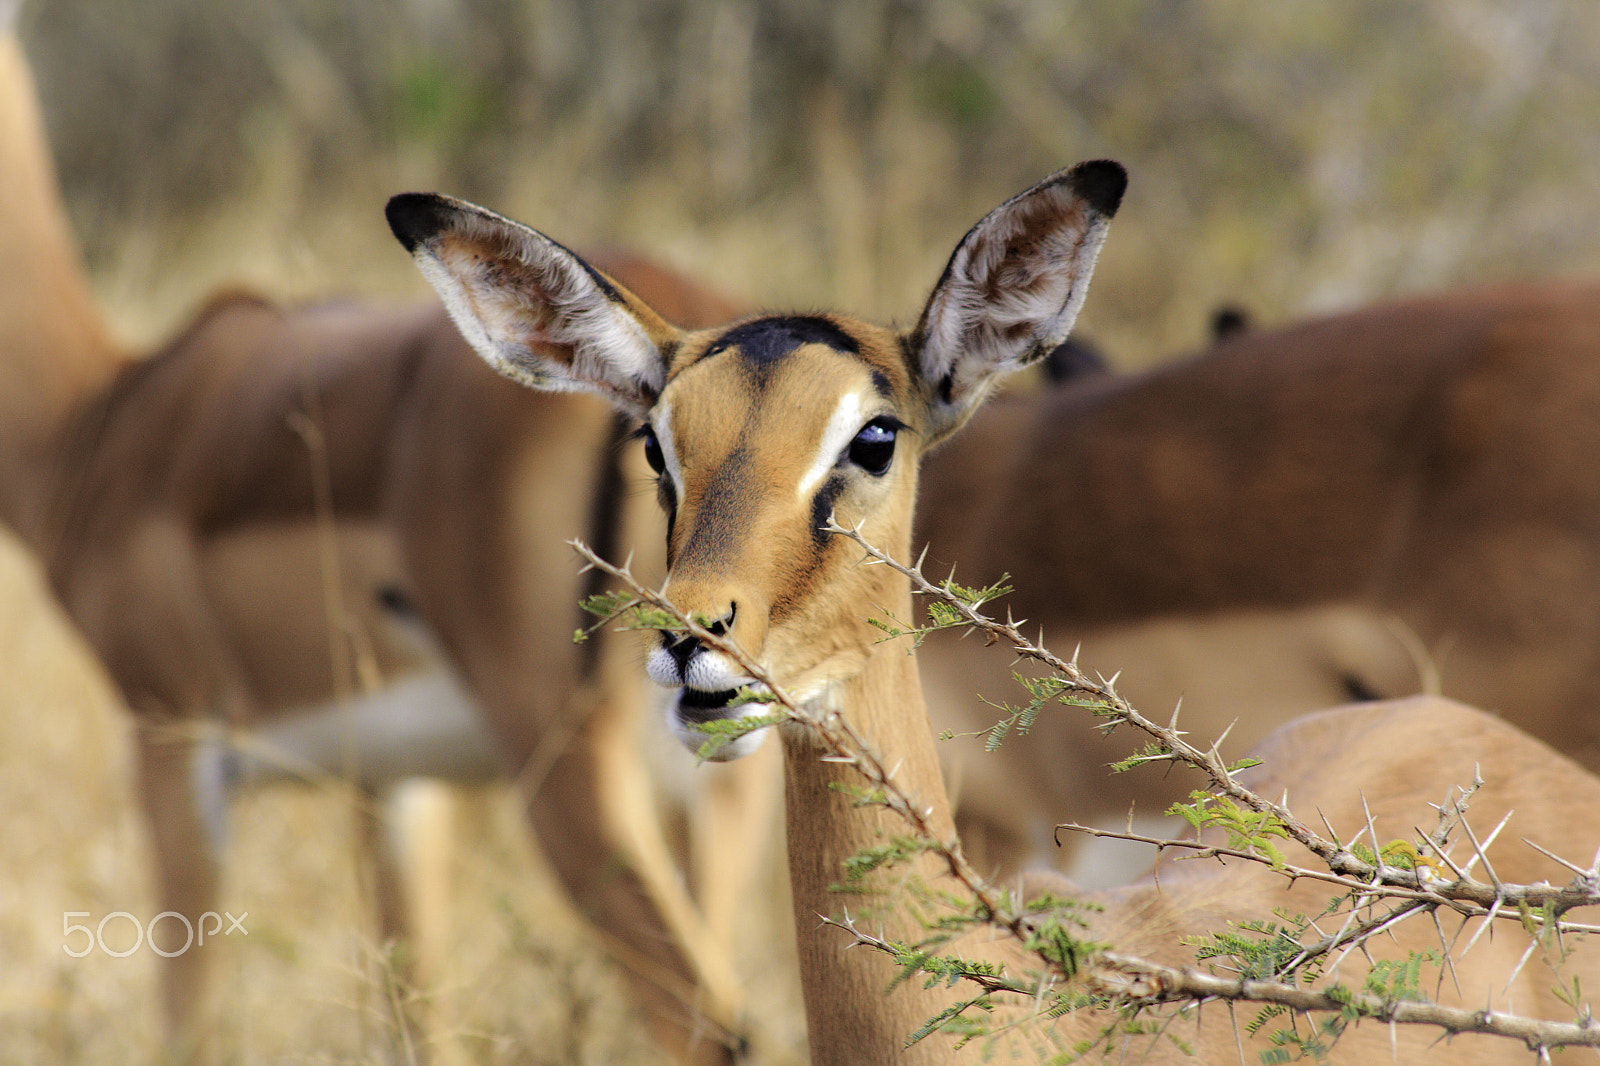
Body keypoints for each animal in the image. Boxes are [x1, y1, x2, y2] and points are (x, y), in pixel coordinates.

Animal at [1, 28, 750, 1062]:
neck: (99, 421)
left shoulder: (171, 743)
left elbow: (186, 1020)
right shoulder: (398, 788)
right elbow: (414, 1014)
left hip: (566, 752)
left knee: (709, 1021)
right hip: (720, 775)